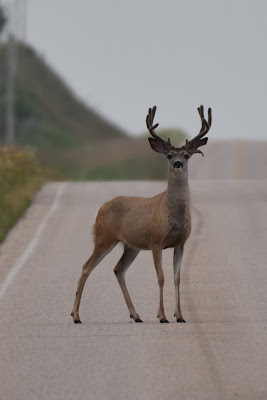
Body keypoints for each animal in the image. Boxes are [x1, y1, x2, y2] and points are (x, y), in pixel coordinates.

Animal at [71, 105, 214, 324]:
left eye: (186, 155)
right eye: (169, 155)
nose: (178, 163)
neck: (172, 213)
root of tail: (101, 208)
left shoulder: (181, 243)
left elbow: (177, 278)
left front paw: (180, 315)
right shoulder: (156, 240)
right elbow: (161, 277)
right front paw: (162, 315)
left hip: (131, 246)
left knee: (118, 269)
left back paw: (136, 315)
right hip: (104, 237)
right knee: (86, 267)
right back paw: (76, 315)